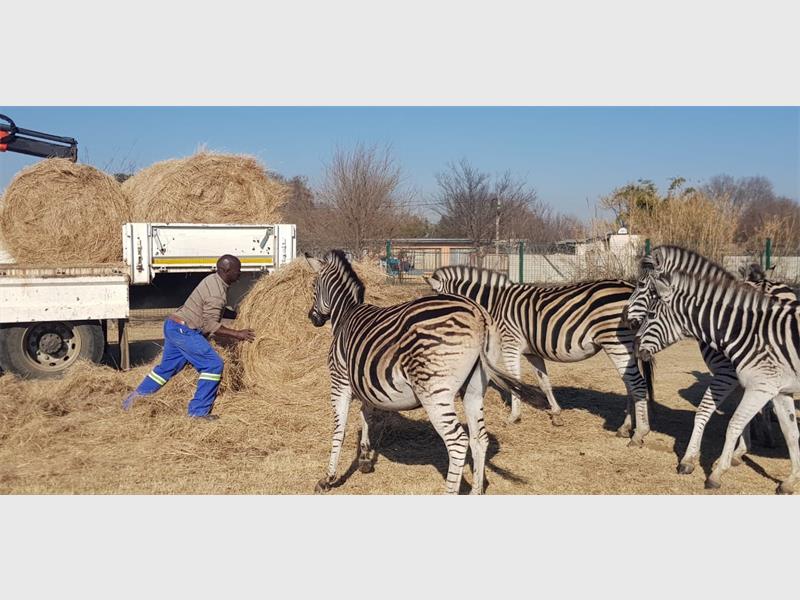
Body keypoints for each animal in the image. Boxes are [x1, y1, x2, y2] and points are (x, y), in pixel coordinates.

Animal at [304, 251, 546, 495]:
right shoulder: (365, 381)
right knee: (480, 438)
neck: (345, 314)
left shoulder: (340, 381)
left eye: (314, 285)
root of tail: (478, 313)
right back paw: (476, 490)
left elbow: (339, 428)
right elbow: (366, 415)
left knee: (458, 442)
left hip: (434, 392)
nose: (312, 318)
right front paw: (364, 458)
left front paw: (329, 478)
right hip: (474, 389)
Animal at [425, 266, 655, 446]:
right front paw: (556, 413)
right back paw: (625, 427)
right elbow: (544, 382)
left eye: (438, 301)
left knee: (637, 385)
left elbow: (514, 381)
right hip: (623, 346)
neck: (493, 304)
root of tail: (629, 287)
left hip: (616, 342)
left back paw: (639, 433)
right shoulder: (532, 352)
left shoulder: (510, 344)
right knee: (629, 385)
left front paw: (514, 417)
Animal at [624, 246, 797, 474]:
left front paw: (696, 459)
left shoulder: (727, 374)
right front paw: (740, 450)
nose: (625, 318)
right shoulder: (739, 377)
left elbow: (708, 410)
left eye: (642, 285)